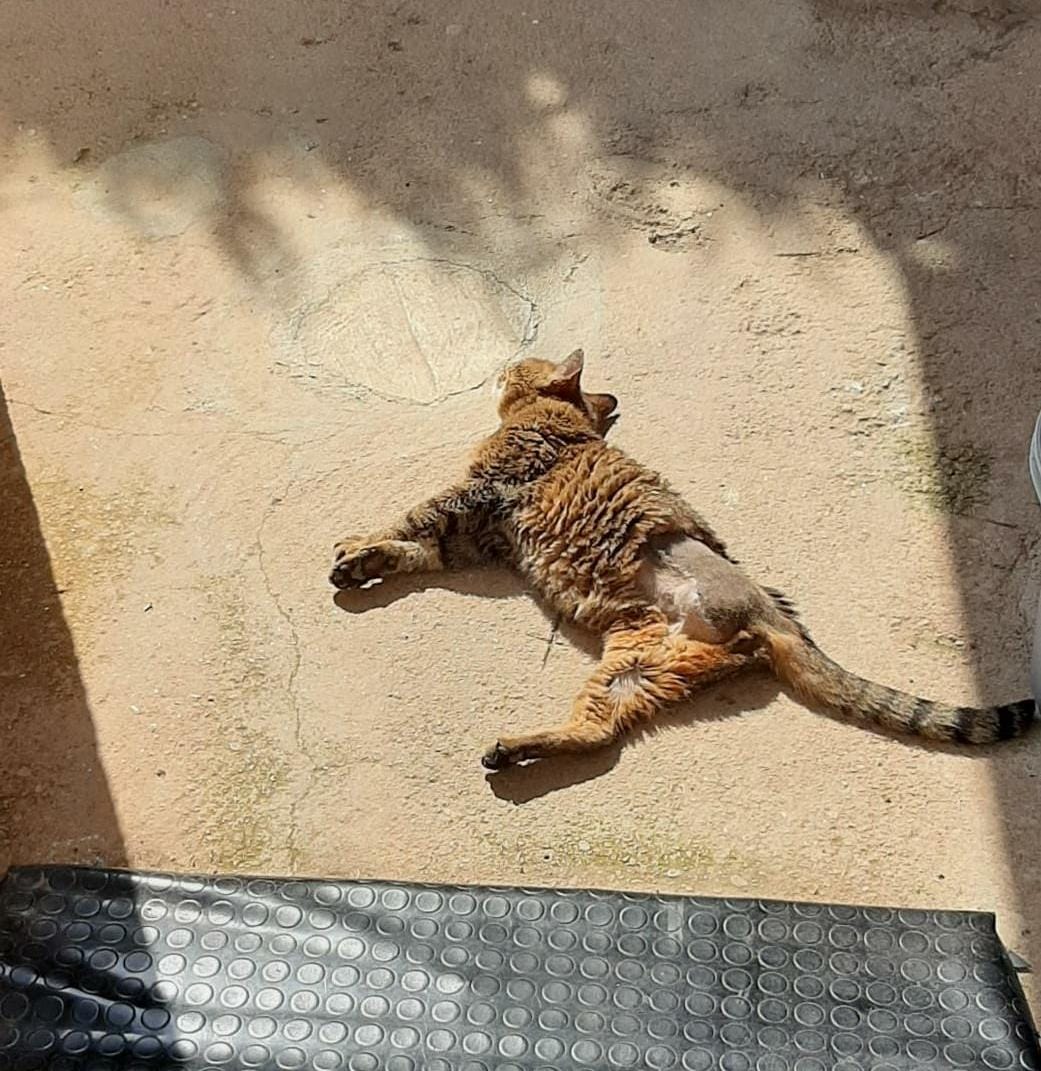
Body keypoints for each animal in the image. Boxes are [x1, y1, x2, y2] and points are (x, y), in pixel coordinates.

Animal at [331, 350, 1035, 769]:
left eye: (523, 364)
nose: (502, 362)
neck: (558, 419)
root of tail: (780, 618)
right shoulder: (480, 535)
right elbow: (413, 548)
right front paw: (364, 563)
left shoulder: (484, 491)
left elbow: (410, 518)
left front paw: (356, 545)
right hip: (639, 666)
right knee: (600, 731)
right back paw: (522, 747)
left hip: (654, 646)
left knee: (604, 733)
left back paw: (513, 748)